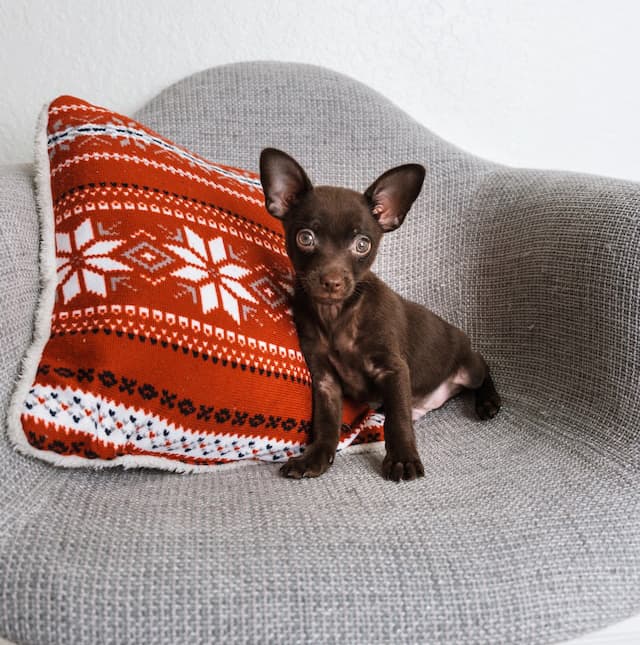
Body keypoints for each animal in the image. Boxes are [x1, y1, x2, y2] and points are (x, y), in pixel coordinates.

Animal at [258, 147, 500, 478]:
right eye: (305, 238)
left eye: (363, 244)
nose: (332, 281)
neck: (337, 315)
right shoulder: (325, 380)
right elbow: (326, 423)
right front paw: (316, 457)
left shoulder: (393, 370)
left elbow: (397, 420)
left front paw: (403, 458)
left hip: (469, 367)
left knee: (483, 368)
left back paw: (488, 401)